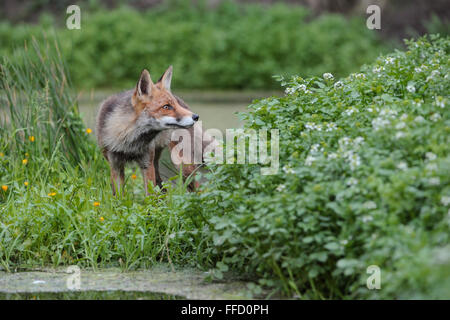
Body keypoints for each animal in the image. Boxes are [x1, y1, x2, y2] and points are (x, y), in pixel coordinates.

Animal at [96, 67, 200, 195]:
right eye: (166, 107)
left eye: (175, 105)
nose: (196, 117)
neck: (129, 141)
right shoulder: (115, 165)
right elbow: (119, 196)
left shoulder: (146, 165)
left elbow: (149, 196)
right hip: (156, 161)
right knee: (162, 186)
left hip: (183, 166)